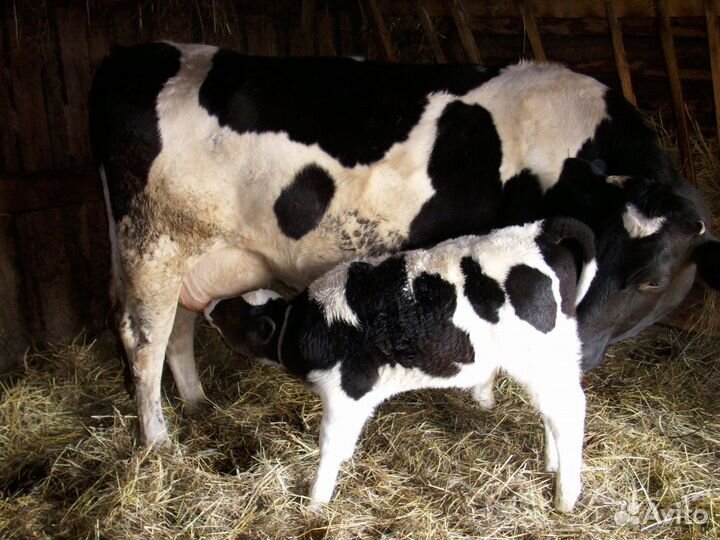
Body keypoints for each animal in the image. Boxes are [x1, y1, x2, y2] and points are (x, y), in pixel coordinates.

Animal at [89, 42, 719, 447]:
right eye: (592, 258)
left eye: (652, 279)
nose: (574, 348)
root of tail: (140, 54)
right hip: (153, 243)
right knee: (144, 341)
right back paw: (158, 442)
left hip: (189, 256)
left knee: (177, 330)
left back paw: (198, 406)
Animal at [205, 217, 598, 512]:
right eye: (234, 301)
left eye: (232, 313)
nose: (209, 305)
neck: (311, 325)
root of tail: (539, 231)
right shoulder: (362, 395)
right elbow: (346, 439)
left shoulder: (346, 389)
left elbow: (329, 444)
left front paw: (317, 501)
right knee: (554, 413)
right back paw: (553, 463)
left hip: (542, 356)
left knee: (569, 411)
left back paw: (566, 495)